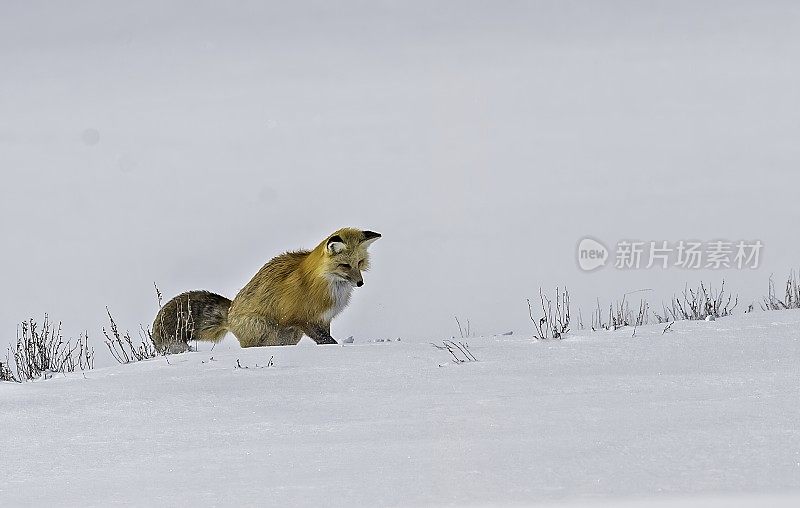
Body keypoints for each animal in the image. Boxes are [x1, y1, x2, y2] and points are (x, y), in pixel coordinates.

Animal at [154, 228, 384, 352]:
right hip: (271, 330)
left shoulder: (323, 318)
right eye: (345, 266)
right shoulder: (300, 317)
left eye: (360, 263)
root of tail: (229, 312)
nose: (360, 283)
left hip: (291, 336)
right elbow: (326, 340)